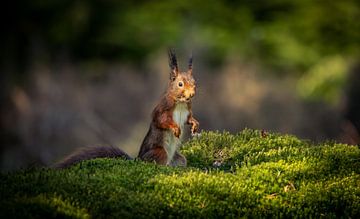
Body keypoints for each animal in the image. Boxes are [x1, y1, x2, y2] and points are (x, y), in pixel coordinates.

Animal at [53, 50, 200, 169]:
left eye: (194, 82)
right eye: (180, 84)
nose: (192, 94)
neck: (181, 103)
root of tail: (138, 159)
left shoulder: (187, 110)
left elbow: (188, 118)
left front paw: (194, 124)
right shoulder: (163, 108)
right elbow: (161, 120)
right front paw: (175, 128)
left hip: (178, 158)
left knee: (181, 161)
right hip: (159, 152)